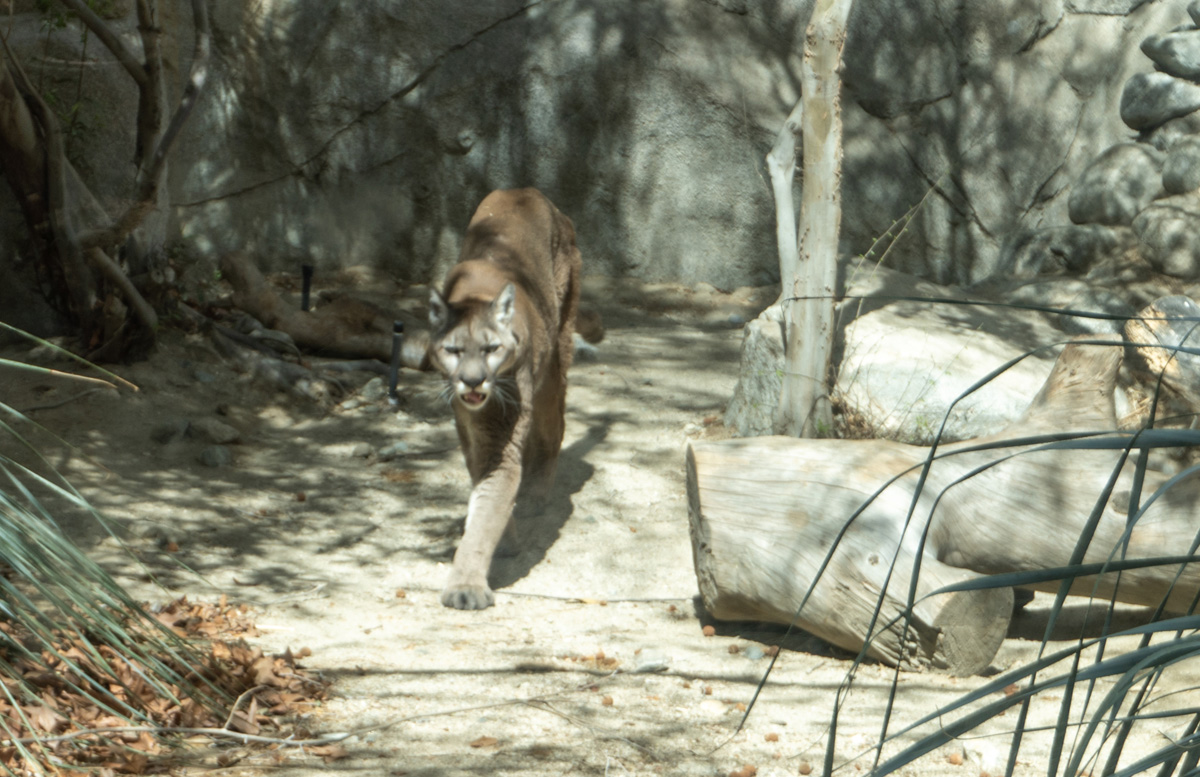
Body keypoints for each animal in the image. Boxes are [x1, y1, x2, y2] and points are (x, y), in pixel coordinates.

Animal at [425, 188, 600, 610]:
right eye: (454, 350)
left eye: (491, 348)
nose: (473, 381)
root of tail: (526, 191)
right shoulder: (472, 431)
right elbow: (484, 489)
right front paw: (506, 539)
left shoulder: (500, 434)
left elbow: (489, 504)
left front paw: (467, 585)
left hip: (556, 355)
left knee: (555, 424)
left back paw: (537, 494)